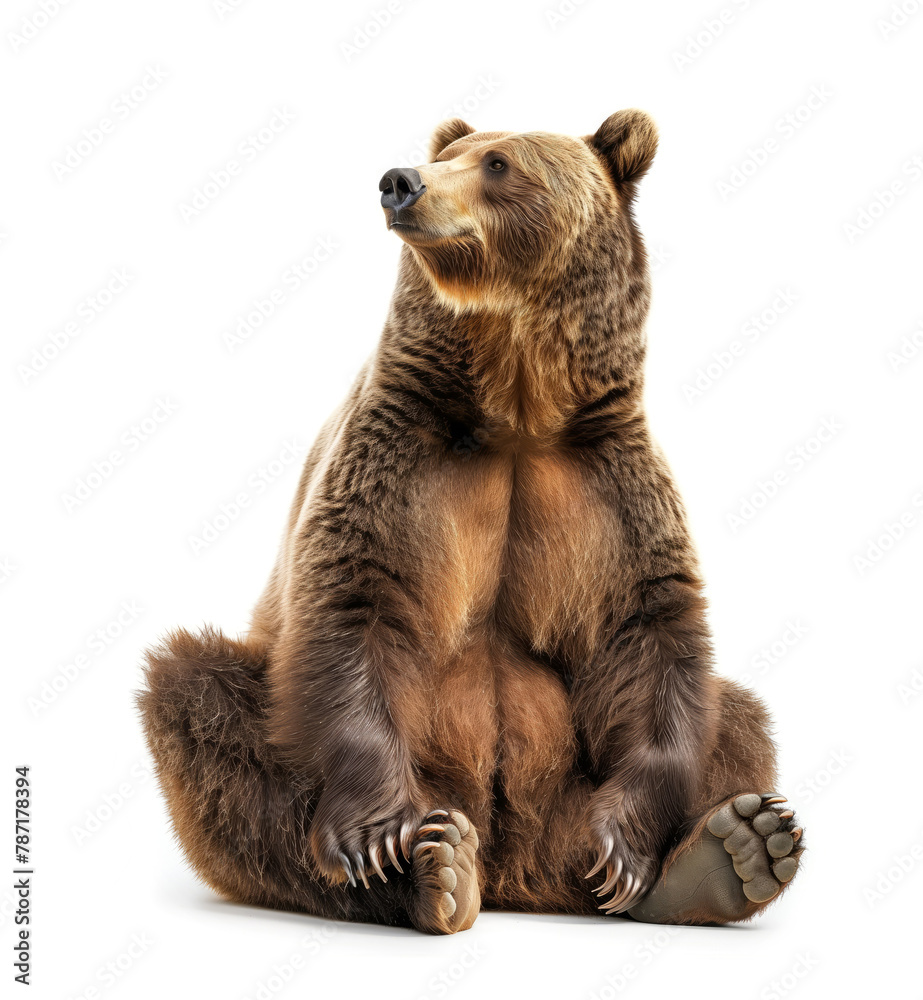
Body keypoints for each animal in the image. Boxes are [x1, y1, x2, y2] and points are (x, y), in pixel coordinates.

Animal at [138, 110, 804, 934]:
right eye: (448, 154)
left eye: (499, 163)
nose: (400, 182)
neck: (515, 400)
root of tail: (517, 869)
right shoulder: (399, 454)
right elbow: (351, 600)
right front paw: (378, 837)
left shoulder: (607, 484)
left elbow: (651, 632)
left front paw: (627, 852)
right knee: (199, 695)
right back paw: (435, 868)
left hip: (565, 799)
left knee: (736, 716)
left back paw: (731, 851)